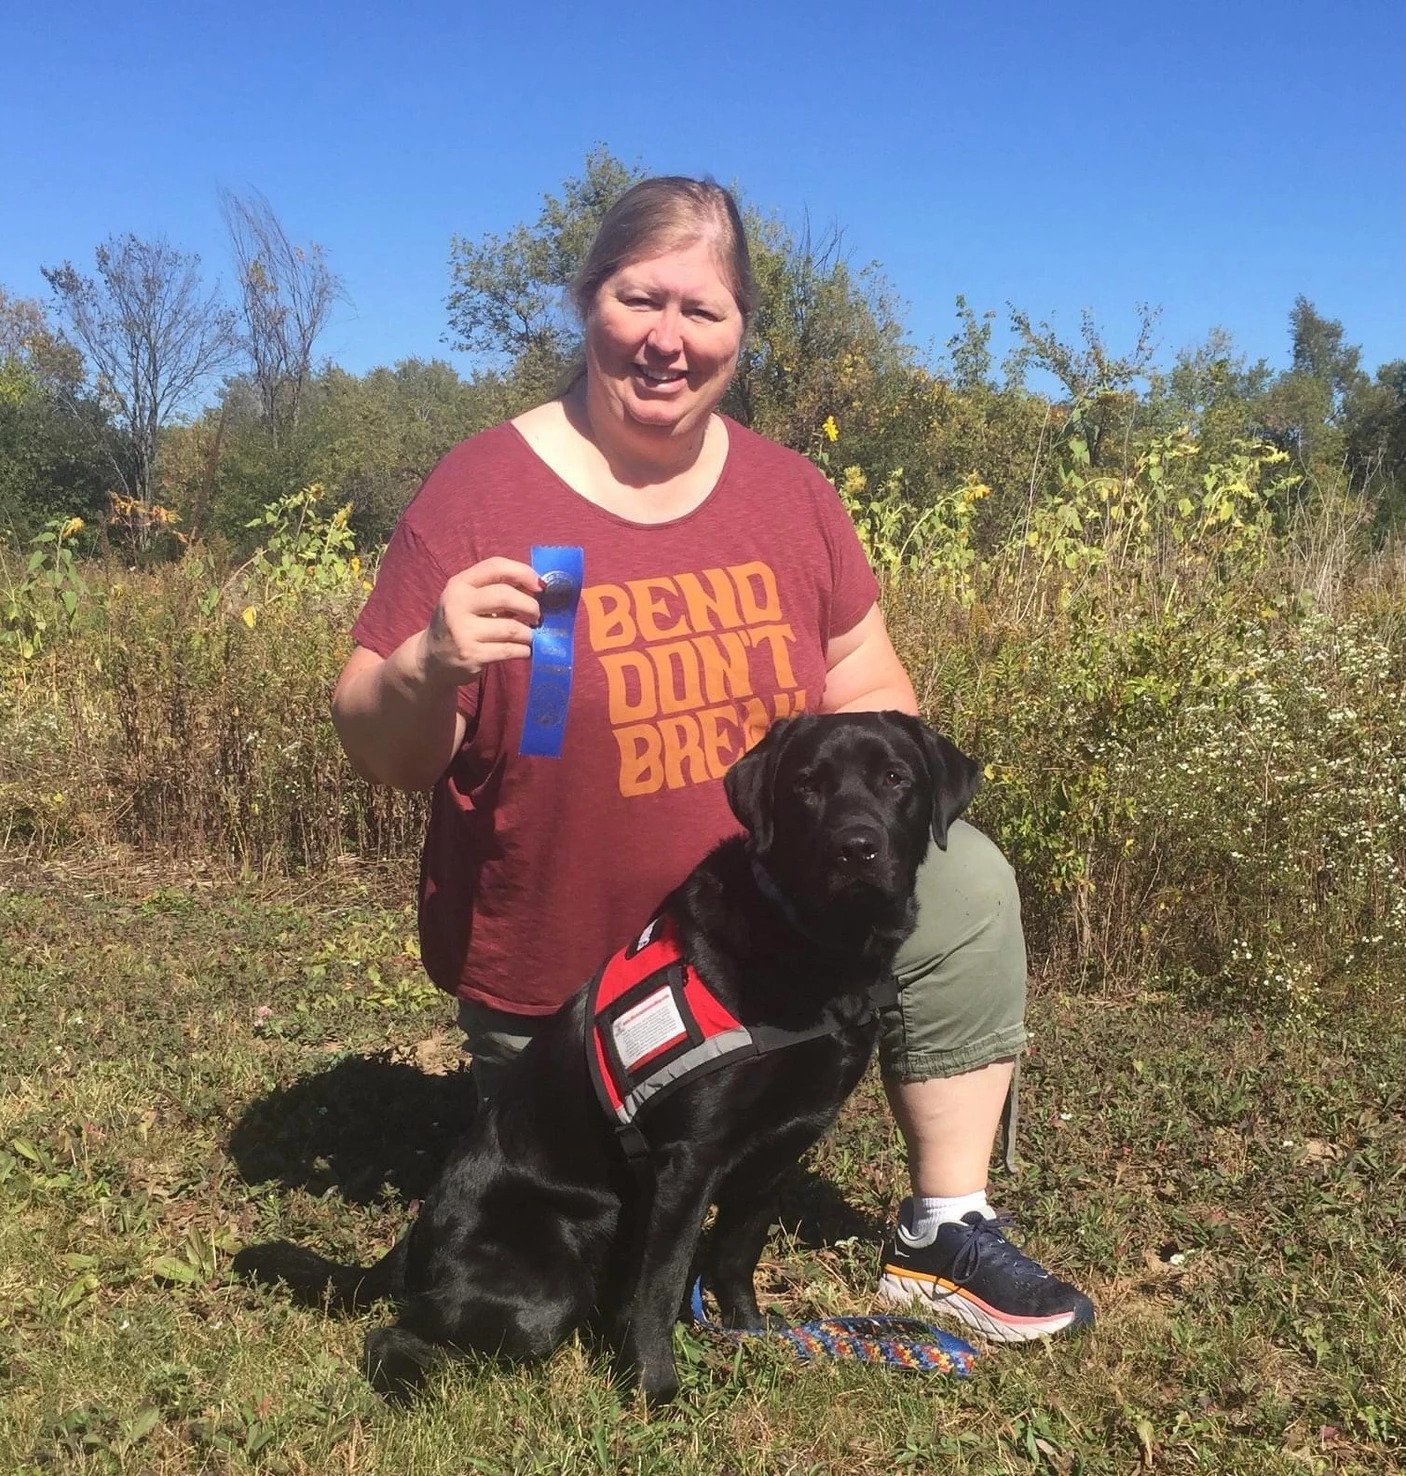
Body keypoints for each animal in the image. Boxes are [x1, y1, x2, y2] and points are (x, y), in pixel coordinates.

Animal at [233, 714, 973, 1405]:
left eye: (895, 778)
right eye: (806, 785)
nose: (856, 847)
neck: (814, 950)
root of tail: (417, 1237)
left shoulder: (779, 1148)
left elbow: (735, 1255)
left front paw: (749, 1336)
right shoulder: (686, 1162)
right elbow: (661, 1287)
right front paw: (654, 1390)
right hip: (544, 1285)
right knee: (395, 1333)